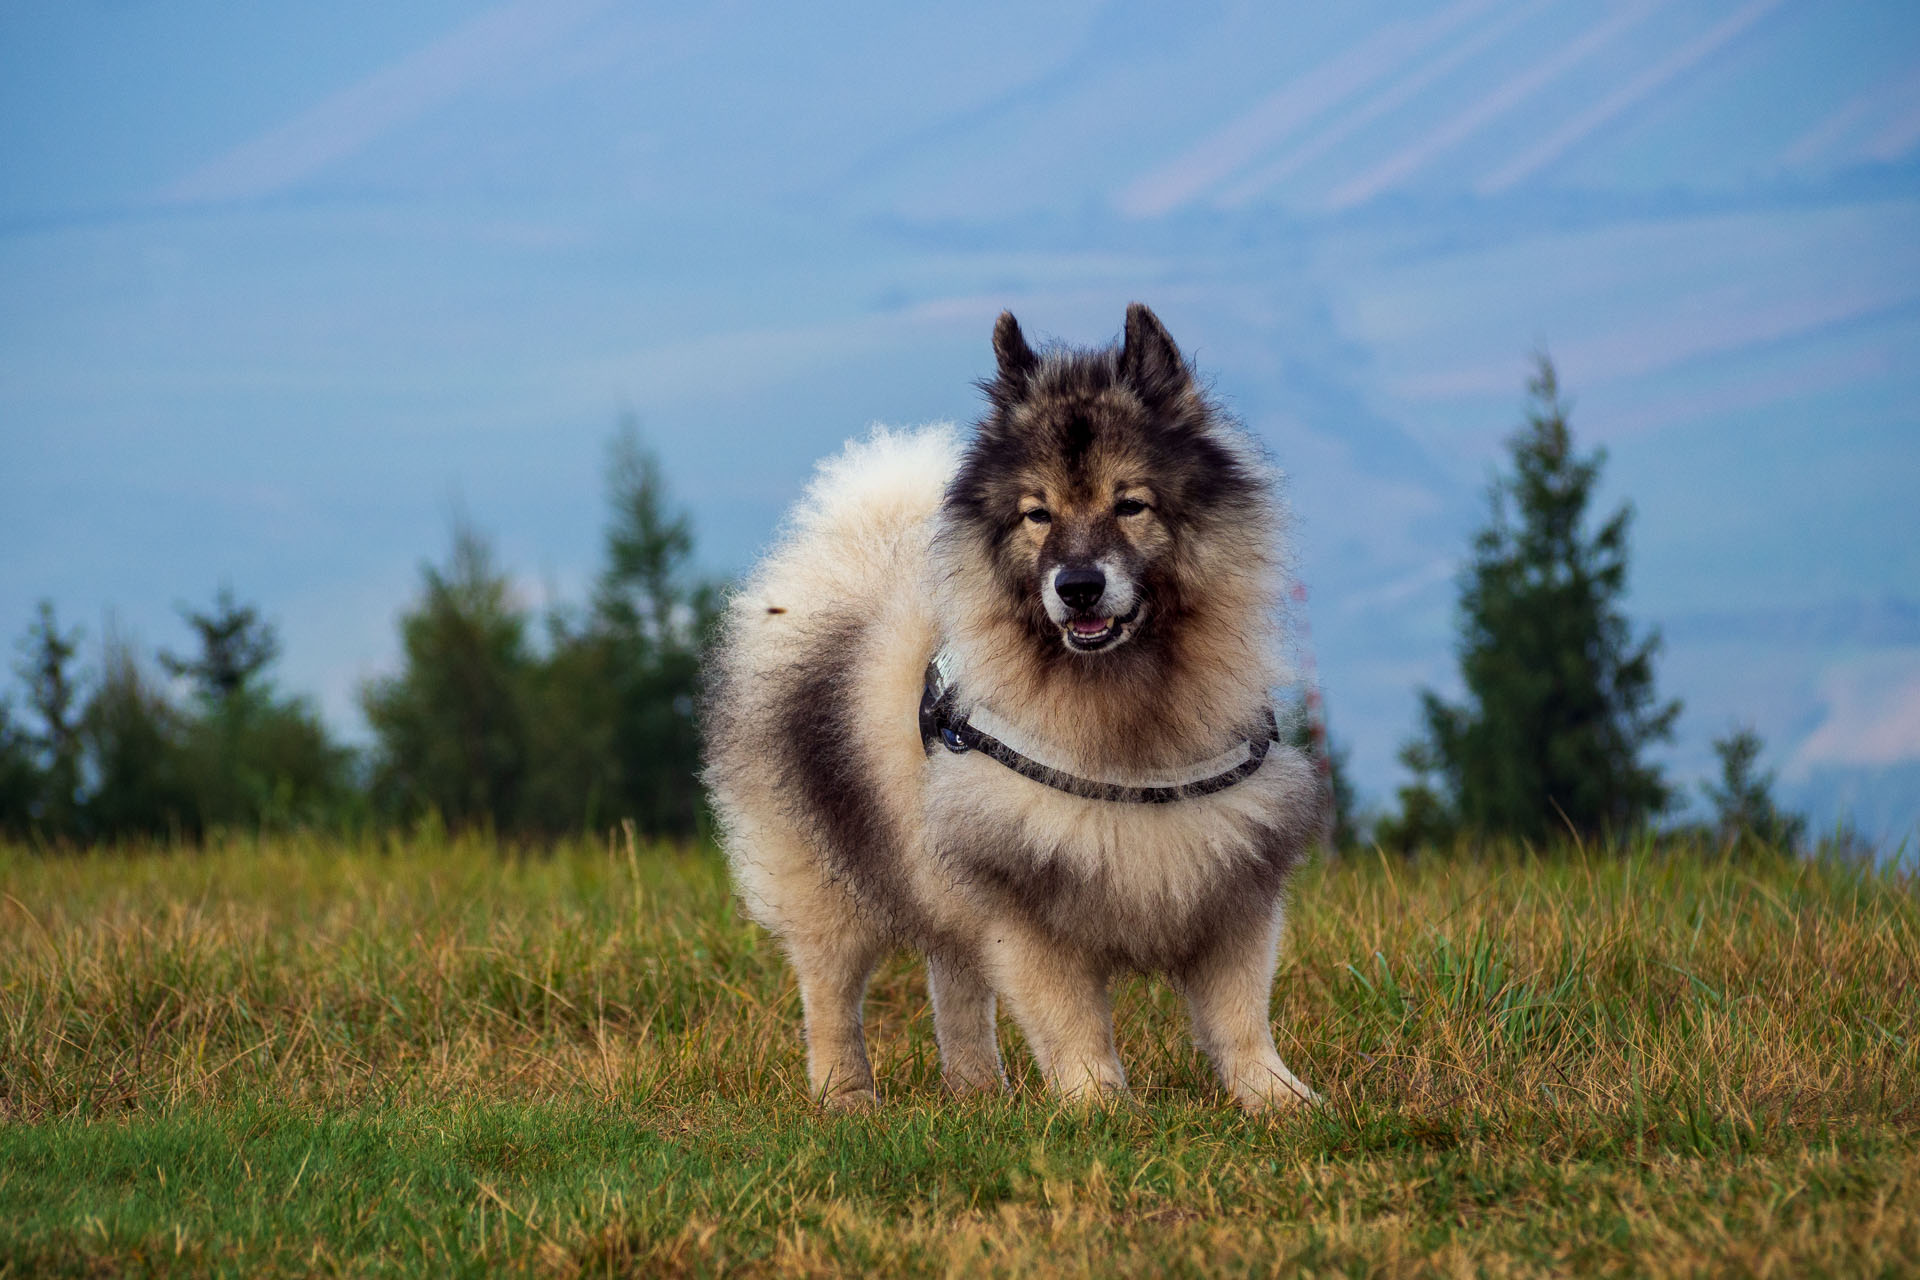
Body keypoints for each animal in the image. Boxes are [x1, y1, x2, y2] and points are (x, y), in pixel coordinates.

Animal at [702, 303, 1320, 1113]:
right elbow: (1074, 1021)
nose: (1079, 586)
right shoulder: (1023, 898)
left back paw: (976, 1092)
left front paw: (1281, 1101)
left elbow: (1241, 1014)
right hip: (823, 878)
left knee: (954, 982)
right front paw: (1102, 1107)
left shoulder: (1231, 874)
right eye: (1037, 515)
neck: (1125, 706)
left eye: (1131, 504)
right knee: (832, 993)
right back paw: (847, 1098)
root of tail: (848, 563)